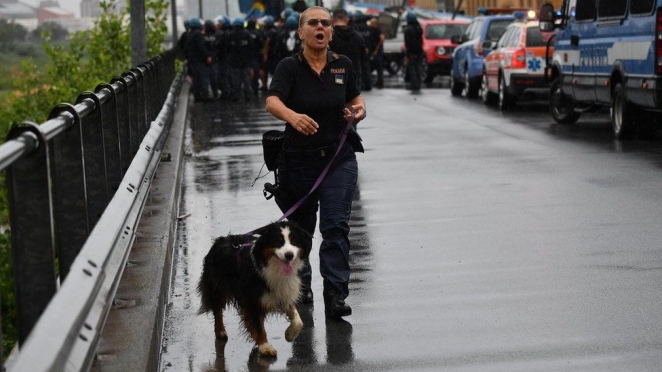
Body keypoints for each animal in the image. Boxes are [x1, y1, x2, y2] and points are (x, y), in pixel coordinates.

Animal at [198, 221, 312, 358]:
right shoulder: (250, 298)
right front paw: (265, 347)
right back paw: (220, 332)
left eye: (294, 241)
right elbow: (257, 325)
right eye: (277, 242)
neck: (273, 268)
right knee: (218, 309)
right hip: (216, 284)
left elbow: (298, 320)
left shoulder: (282, 292)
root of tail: (221, 239)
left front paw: (289, 335)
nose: (289, 255)